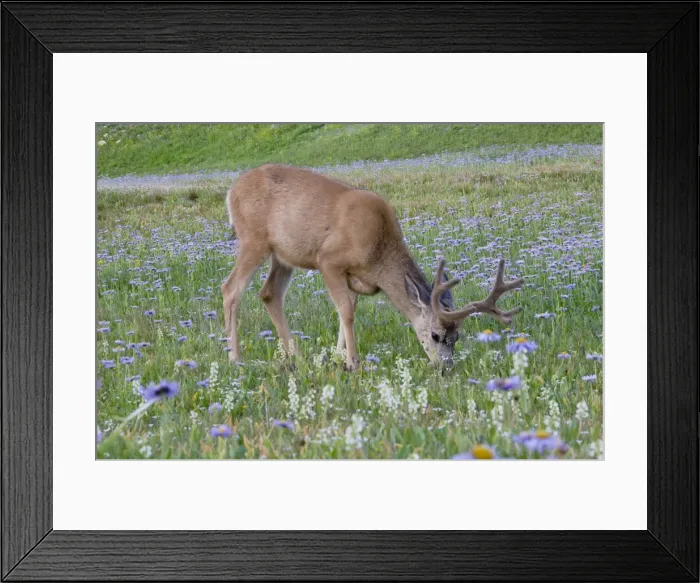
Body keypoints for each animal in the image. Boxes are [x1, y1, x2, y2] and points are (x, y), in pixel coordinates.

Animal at [221, 164, 524, 371]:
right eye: (435, 335)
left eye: (457, 337)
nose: (446, 367)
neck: (379, 252)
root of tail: (232, 190)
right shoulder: (328, 260)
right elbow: (346, 310)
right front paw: (353, 363)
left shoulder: (354, 277)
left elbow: (347, 309)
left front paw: (338, 355)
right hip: (254, 240)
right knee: (230, 288)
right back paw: (235, 357)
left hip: (283, 255)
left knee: (269, 293)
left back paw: (296, 357)